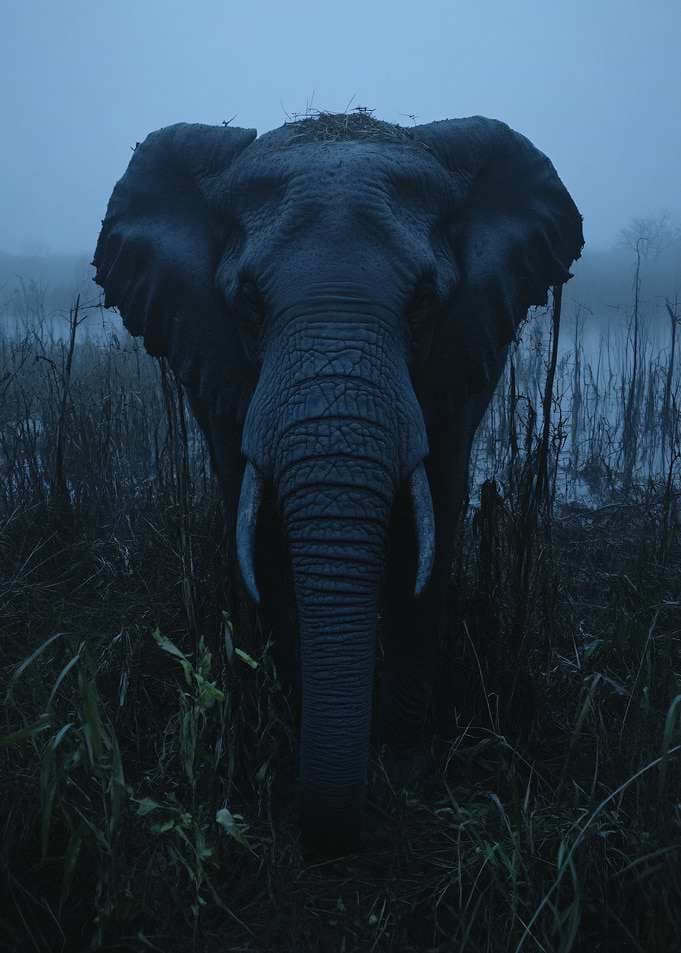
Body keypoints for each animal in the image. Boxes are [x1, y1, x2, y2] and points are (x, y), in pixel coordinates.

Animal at [93, 111, 583, 853]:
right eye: (248, 303)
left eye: (422, 303)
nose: (329, 834)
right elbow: (260, 539)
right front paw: (279, 738)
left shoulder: (462, 353)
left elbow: (426, 537)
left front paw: (404, 773)